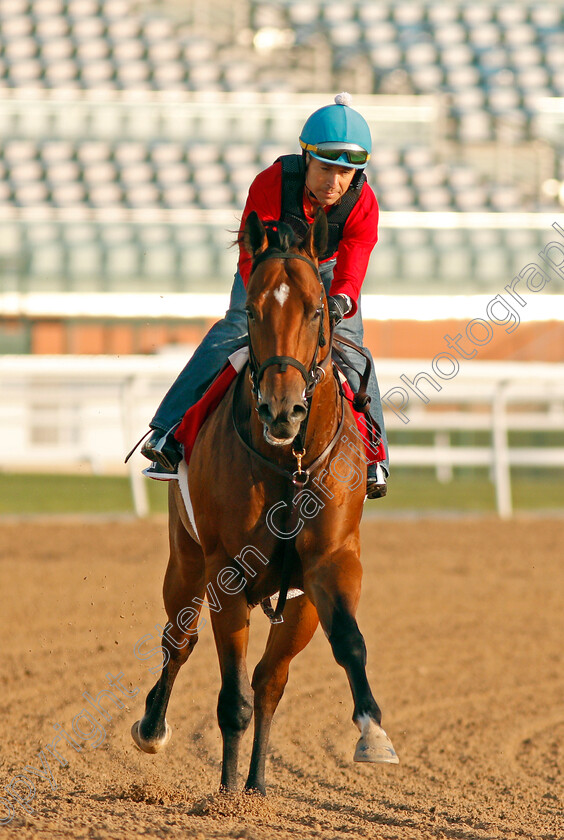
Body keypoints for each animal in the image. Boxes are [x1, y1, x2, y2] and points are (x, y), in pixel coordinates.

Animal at [131, 210, 398, 796]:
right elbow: (231, 697)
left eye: (318, 309)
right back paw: (156, 728)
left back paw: (256, 784)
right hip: (185, 562)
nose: (282, 409)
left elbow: (349, 643)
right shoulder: (225, 571)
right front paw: (226, 796)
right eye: (252, 311)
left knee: (270, 680)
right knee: (178, 641)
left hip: (294, 603)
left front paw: (373, 734)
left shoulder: (329, 565)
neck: (289, 463)